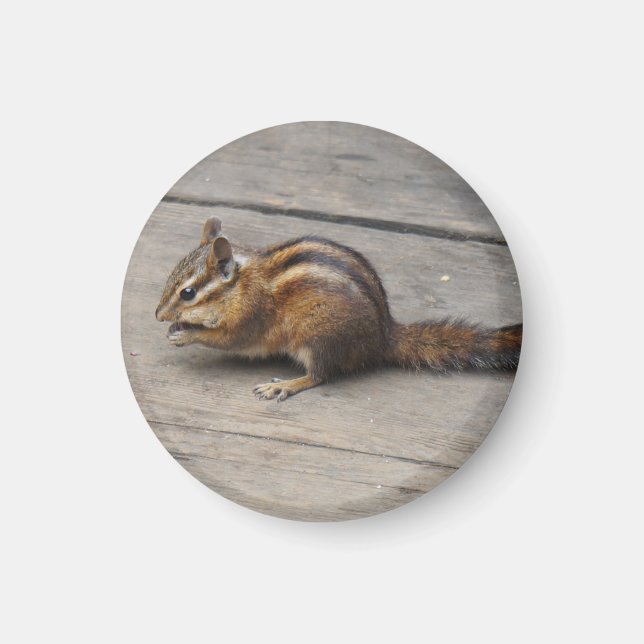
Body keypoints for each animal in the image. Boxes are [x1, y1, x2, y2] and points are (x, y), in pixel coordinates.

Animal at [156, 217, 522, 401]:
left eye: (187, 293)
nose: (158, 314)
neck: (243, 284)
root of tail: (383, 337)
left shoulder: (249, 319)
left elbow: (228, 340)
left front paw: (185, 335)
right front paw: (175, 328)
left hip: (317, 338)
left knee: (320, 375)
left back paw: (285, 385)